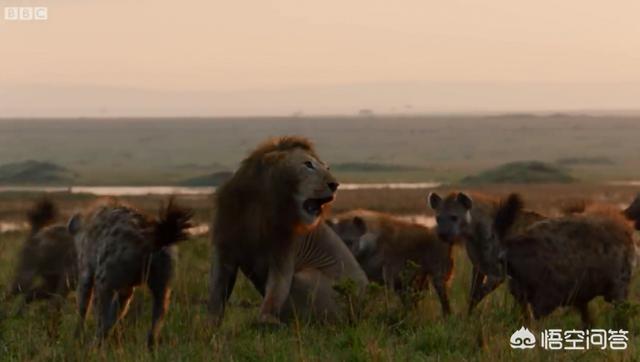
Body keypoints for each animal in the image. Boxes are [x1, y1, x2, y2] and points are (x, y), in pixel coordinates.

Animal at [209, 136, 368, 326]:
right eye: (308, 164)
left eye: (327, 167)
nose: (335, 184)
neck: (259, 209)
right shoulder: (224, 252)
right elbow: (216, 295)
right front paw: (207, 326)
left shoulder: (284, 255)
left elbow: (275, 292)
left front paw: (267, 321)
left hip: (306, 280)